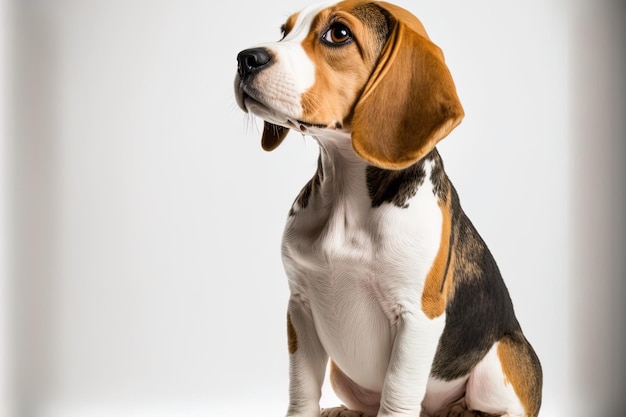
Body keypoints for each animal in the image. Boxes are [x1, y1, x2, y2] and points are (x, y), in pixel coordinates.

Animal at [234, 1, 540, 414]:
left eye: (338, 34)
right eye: (284, 31)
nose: (245, 59)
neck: (345, 194)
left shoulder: (418, 316)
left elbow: (396, 396)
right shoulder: (298, 306)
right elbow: (302, 390)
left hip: (498, 362)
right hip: (341, 375)